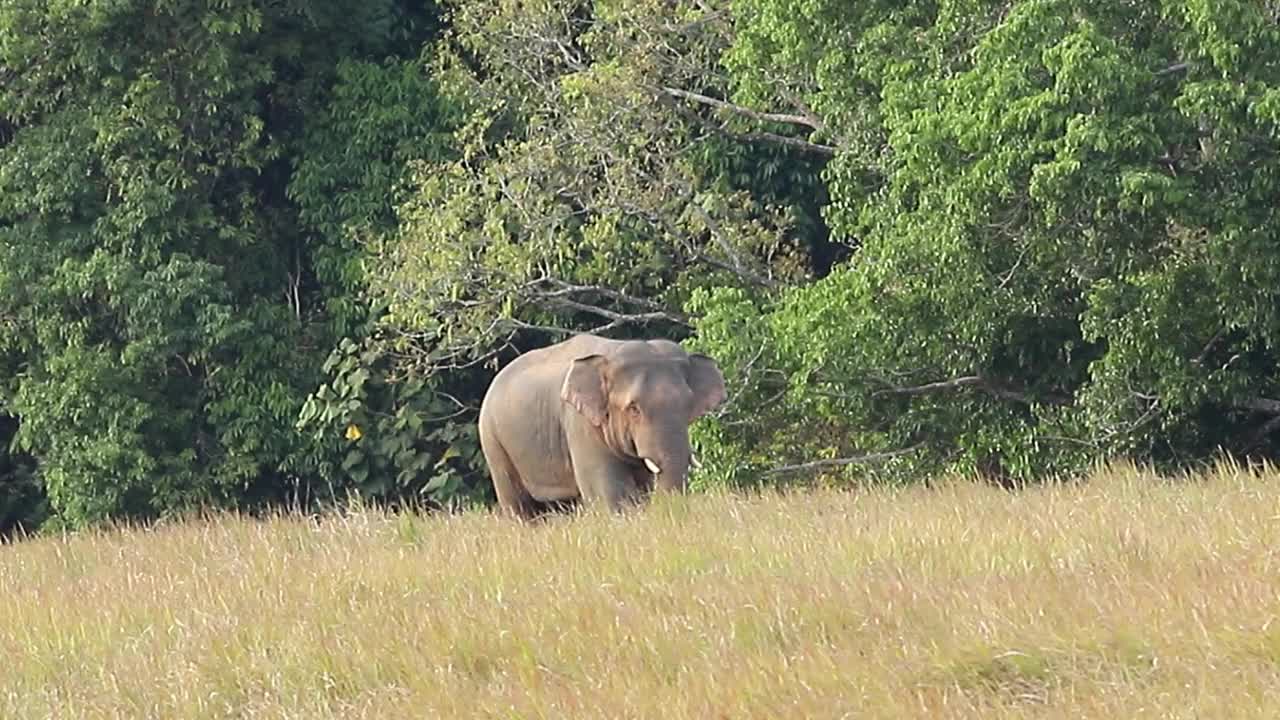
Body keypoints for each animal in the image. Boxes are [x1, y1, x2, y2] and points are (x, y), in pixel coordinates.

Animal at [476, 330, 727, 515]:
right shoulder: (579, 422)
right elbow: (609, 491)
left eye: (688, 403)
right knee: (519, 504)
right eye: (633, 408)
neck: (612, 353)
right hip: (493, 441)